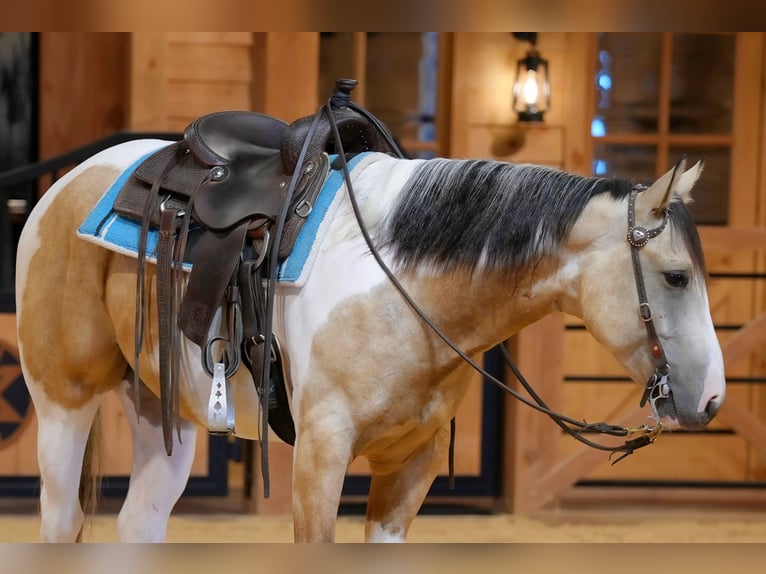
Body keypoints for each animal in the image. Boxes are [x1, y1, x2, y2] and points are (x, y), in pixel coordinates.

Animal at [15, 133, 725, 542]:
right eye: (677, 275)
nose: (713, 398)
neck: (402, 284)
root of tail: (63, 187)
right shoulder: (319, 459)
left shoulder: (410, 469)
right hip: (63, 405)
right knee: (60, 520)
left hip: (163, 414)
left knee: (139, 522)